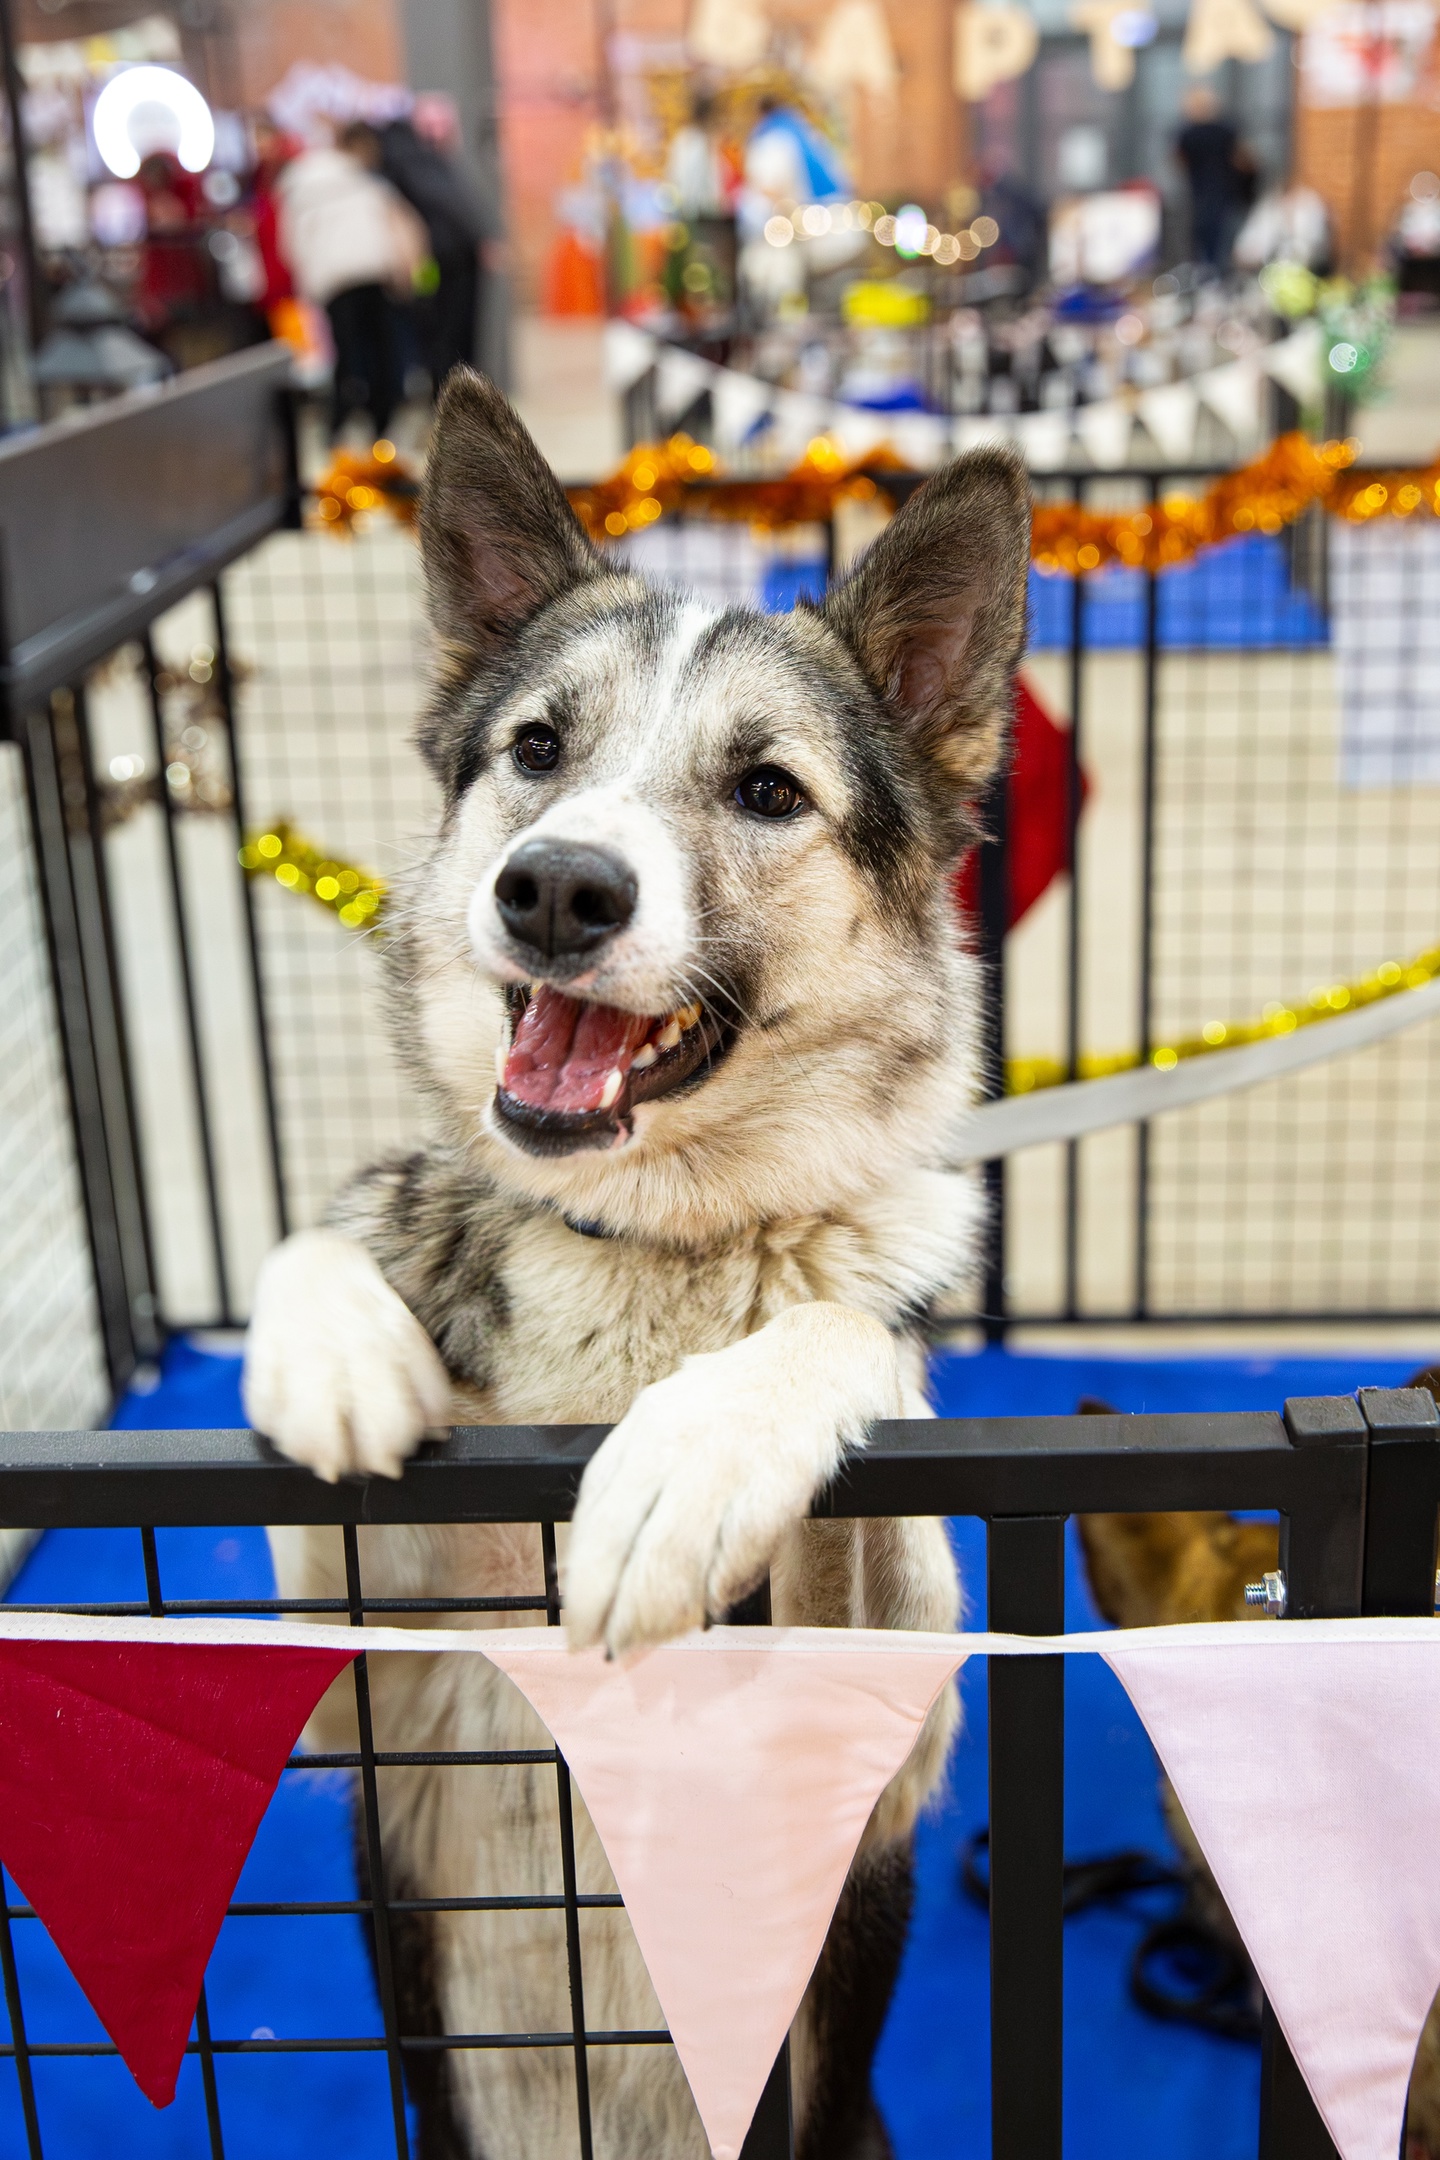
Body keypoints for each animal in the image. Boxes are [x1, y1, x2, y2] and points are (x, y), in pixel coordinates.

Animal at [248, 375, 1036, 2160]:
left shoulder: (877, 1745)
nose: (554, 886)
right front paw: (335, 1347)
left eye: (768, 791)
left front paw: (691, 1457)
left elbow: (835, 1335)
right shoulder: (368, 1712)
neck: (648, 1241)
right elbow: (330, 1250)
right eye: (538, 751)